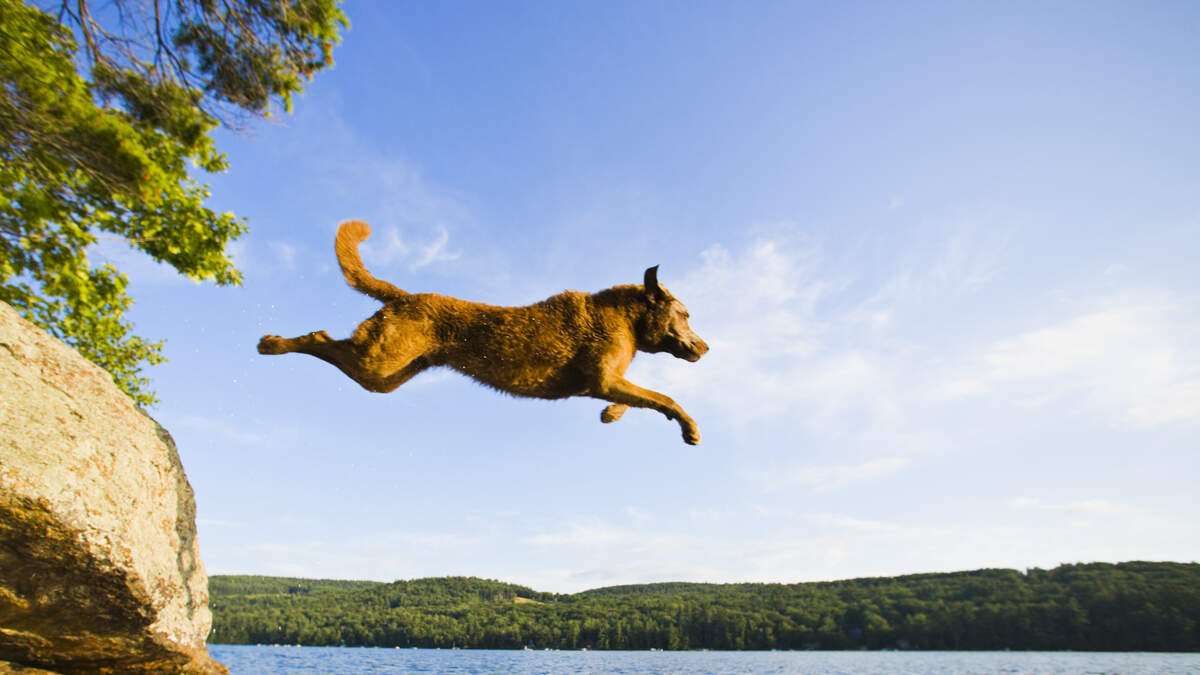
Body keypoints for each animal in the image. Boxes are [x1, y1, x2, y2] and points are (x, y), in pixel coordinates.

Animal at [253, 219, 700, 441]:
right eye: (686, 314)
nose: (705, 346)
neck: (626, 319)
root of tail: (404, 296)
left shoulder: (607, 383)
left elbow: (644, 398)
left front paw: (612, 414)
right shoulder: (604, 379)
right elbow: (665, 397)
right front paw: (689, 428)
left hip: (387, 376)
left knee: (331, 348)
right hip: (378, 361)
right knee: (319, 339)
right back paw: (272, 344)